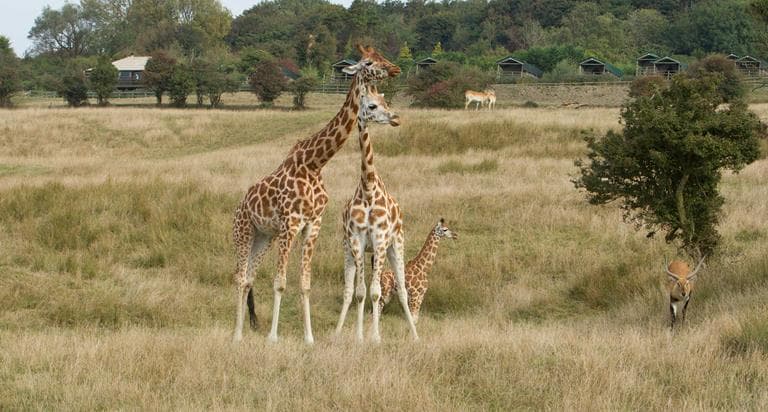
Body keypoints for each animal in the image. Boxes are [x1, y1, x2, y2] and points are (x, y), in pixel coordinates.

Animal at [231, 45, 400, 344]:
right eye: (369, 62)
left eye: (382, 55)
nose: (395, 69)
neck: (314, 163)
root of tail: (239, 207)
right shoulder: (290, 224)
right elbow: (280, 282)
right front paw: (273, 338)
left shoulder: (313, 225)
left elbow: (305, 284)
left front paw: (309, 338)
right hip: (244, 232)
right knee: (240, 277)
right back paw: (237, 335)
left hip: (263, 237)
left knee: (249, 277)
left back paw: (245, 329)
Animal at [334, 86, 419, 343]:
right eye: (371, 106)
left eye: (385, 101)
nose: (395, 118)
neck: (368, 188)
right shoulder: (357, 240)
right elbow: (361, 292)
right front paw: (360, 337)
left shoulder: (380, 240)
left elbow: (376, 292)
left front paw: (375, 338)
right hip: (350, 249)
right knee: (349, 290)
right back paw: (339, 333)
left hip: (396, 244)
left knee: (402, 289)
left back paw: (415, 336)